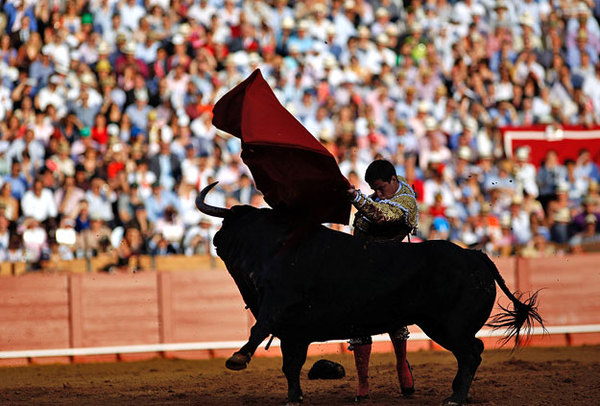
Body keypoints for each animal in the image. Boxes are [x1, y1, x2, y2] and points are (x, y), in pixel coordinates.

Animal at [197, 184, 544, 406]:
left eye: (233, 225)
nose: (215, 240)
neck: (274, 248)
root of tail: (475, 255)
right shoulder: (294, 332)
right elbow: (290, 366)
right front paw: (294, 398)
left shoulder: (278, 306)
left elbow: (258, 329)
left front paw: (237, 358)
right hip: (447, 327)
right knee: (473, 351)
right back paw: (461, 393)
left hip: (448, 326)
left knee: (470, 353)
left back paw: (455, 398)